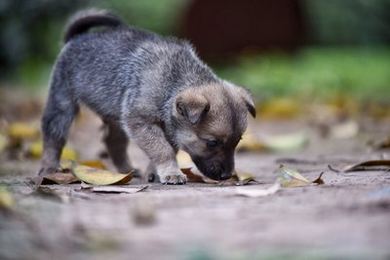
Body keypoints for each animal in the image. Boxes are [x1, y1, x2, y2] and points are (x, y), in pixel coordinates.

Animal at [38, 9, 254, 184]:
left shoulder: (169, 127)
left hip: (116, 115)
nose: (227, 176)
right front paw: (171, 172)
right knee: (53, 137)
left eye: (238, 141)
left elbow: (165, 148)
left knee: (114, 142)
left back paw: (126, 170)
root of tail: (75, 38)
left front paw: (156, 172)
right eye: (212, 143)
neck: (173, 82)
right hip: (62, 102)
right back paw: (49, 168)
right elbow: (162, 149)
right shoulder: (140, 122)